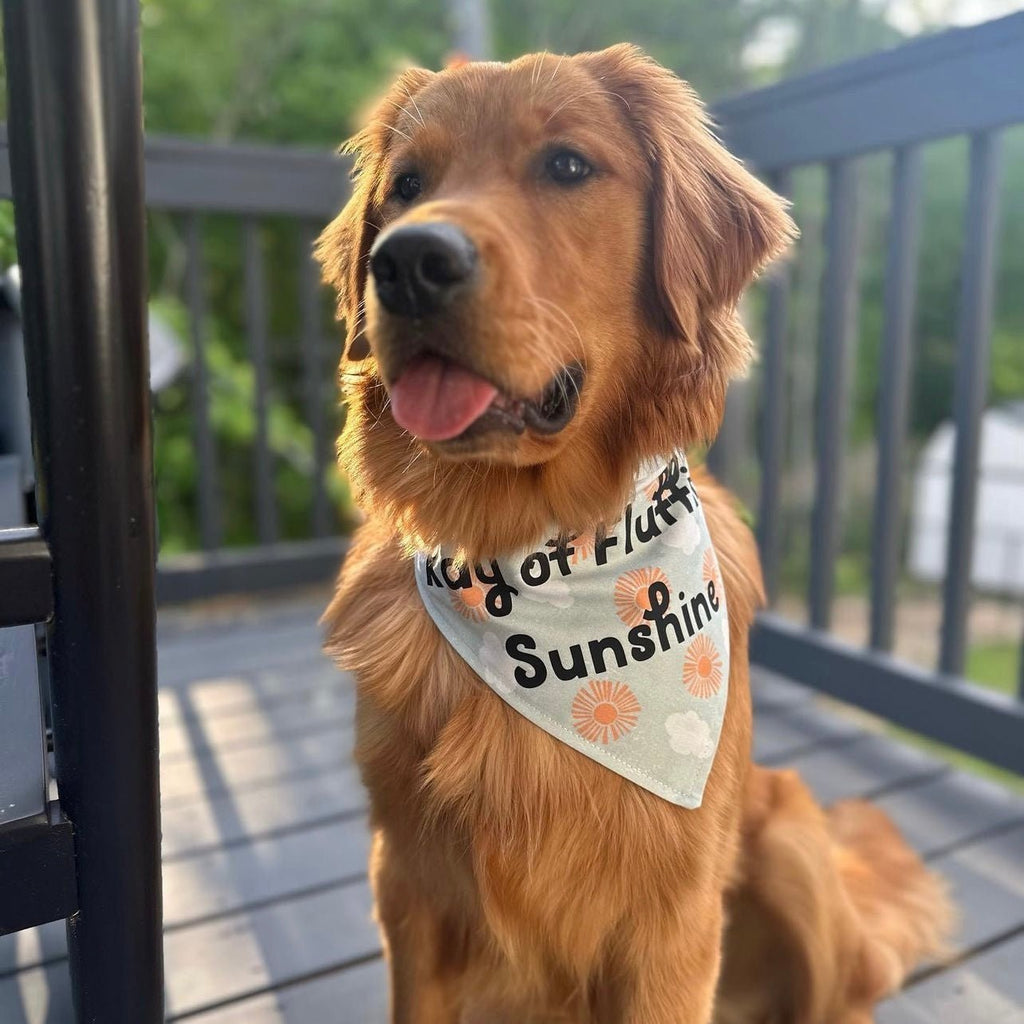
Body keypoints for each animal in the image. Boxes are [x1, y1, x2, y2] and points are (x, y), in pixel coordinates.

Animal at [317, 44, 950, 1019]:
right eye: (407, 184)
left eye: (568, 166)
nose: (409, 262)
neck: (541, 555)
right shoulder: (408, 888)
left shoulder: (671, 924)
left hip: (790, 842)